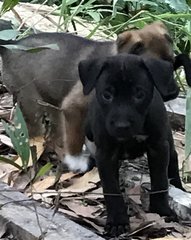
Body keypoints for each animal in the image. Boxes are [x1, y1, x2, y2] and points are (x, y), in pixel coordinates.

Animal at [78, 54, 184, 236]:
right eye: (107, 95)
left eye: (139, 94)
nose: (122, 125)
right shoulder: (106, 154)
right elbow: (111, 188)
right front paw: (117, 221)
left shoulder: (158, 148)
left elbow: (160, 181)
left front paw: (161, 211)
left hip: (167, 138)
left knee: (173, 157)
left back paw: (178, 184)